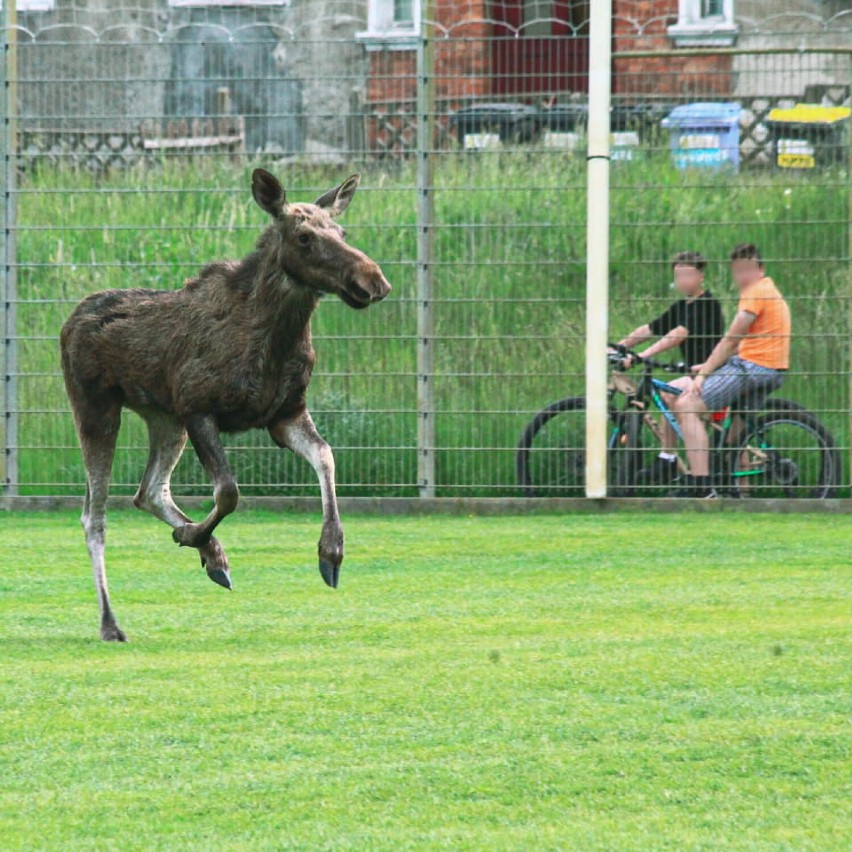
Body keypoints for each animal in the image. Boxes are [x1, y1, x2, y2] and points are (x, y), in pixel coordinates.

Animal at [60, 170, 392, 640]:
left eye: (342, 232)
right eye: (304, 236)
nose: (372, 281)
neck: (276, 338)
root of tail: (68, 322)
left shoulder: (285, 414)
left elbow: (326, 458)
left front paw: (330, 553)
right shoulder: (199, 408)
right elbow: (230, 491)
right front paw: (192, 537)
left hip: (163, 417)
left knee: (149, 491)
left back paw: (211, 553)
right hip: (95, 407)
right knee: (95, 514)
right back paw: (112, 622)